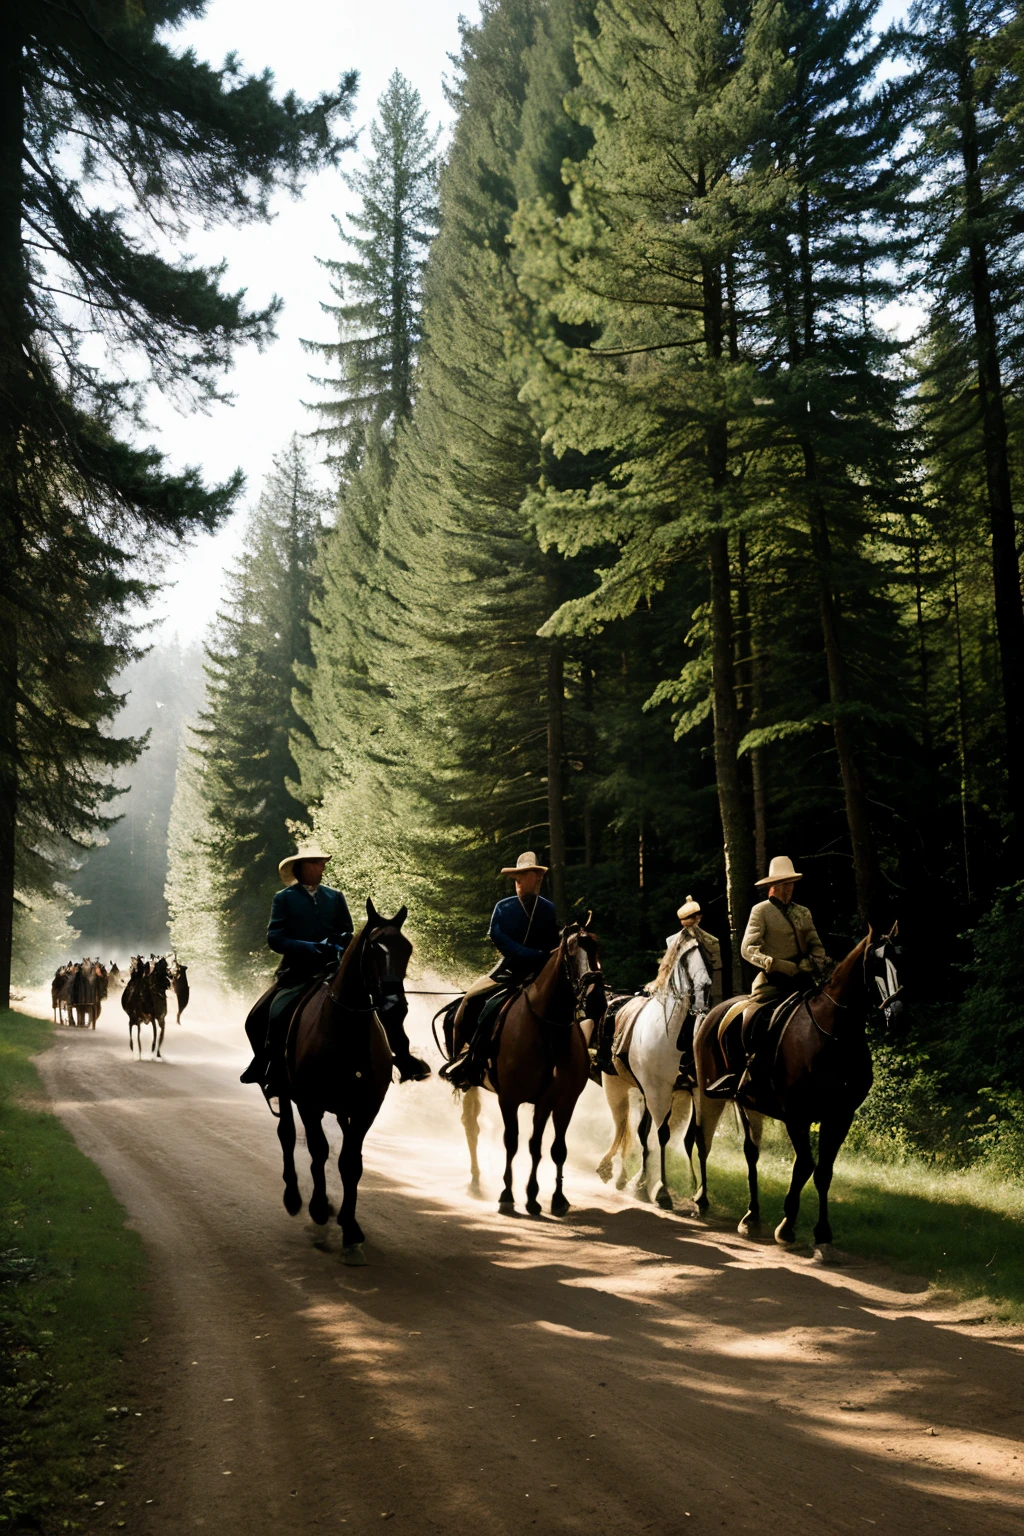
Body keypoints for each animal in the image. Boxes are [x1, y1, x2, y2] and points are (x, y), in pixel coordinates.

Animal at [277, 897, 414, 1265]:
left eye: (407, 949)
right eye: (374, 948)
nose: (394, 1006)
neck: (345, 1032)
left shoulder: (365, 1108)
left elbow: (351, 1163)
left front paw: (351, 1230)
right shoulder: (310, 1103)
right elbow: (319, 1151)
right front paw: (319, 1209)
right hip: (284, 1092)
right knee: (286, 1135)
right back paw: (294, 1198)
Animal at [451, 915, 604, 1216]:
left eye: (596, 949)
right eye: (571, 953)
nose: (596, 999)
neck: (549, 1030)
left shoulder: (557, 1102)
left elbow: (549, 1148)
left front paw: (546, 1198)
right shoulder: (509, 1099)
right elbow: (512, 1143)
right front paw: (507, 1195)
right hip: (470, 1084)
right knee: (471, 1127)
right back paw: (475, 1182)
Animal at [687, 927, 902, 1253]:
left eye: (900, 960)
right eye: (875, 964)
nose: (898, 1012)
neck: (835, 1036)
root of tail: (714, 1013)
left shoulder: (839, 1117)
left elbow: (823, 1171)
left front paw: (823, 1233)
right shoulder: (797, 1116)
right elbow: (805, 1165)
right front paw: (787, 1225)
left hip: (747, 1103)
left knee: (751, 1153)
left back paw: (752, 1216)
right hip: (707, 1094)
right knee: (703, 1141)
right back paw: (702, 1200)